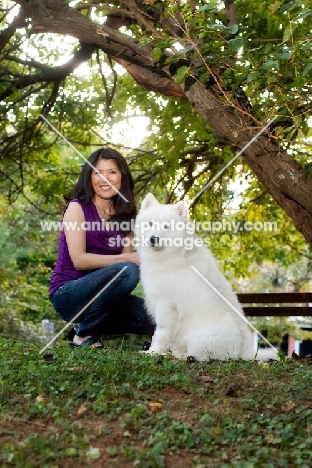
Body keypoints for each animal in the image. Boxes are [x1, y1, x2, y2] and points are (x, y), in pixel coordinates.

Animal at [135, 194, 276, 362]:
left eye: (166, 227)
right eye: (150, 223)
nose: (153, 238)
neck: (172, 254)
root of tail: (246, 350)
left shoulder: (165, 306)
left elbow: (160, 334)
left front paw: (153, 352)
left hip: (199, 339)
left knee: (200, 355)